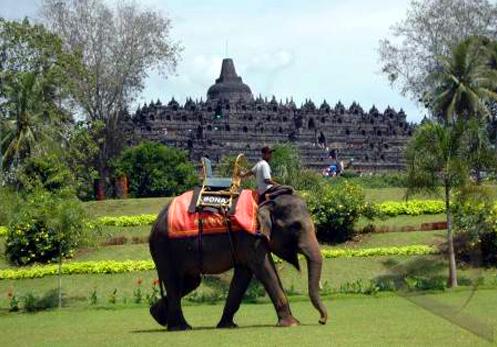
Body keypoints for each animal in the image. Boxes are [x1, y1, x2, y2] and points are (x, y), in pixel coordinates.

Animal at [145, 193, 328, 332]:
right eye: (295, 226)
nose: (322, 320)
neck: (265, 201)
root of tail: (154, 225)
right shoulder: (251, 238)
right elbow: (264, 268)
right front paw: (291, 324)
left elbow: (243, 274)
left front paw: (227, 325)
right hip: (165, 248)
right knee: (174, 281)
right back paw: (181, 327)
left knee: (191, 281)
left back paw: (158, 316)